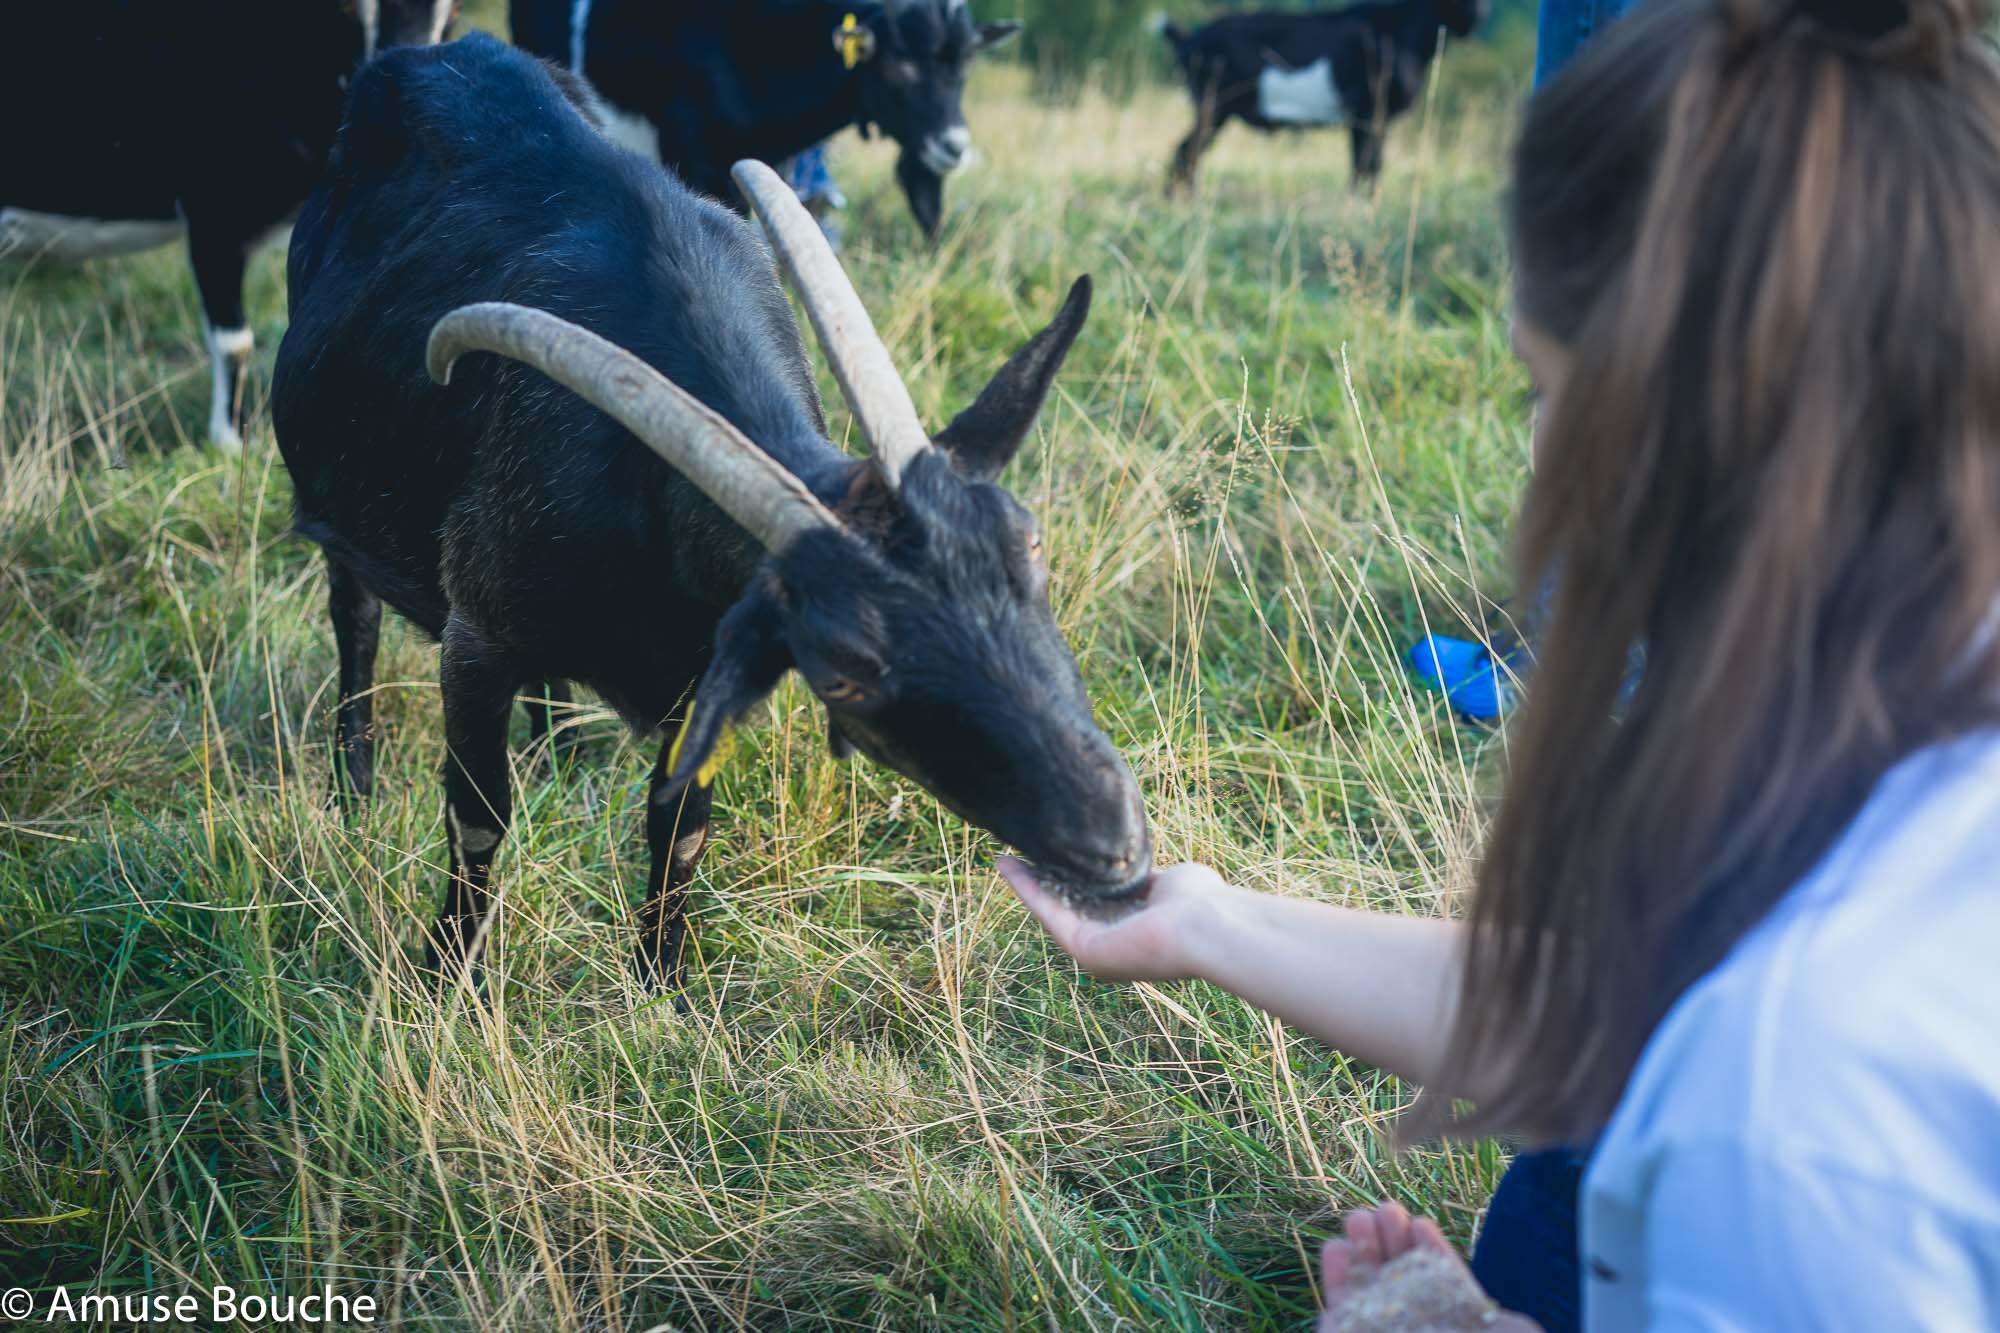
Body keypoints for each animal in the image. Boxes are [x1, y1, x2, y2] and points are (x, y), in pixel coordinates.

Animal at [1160, 0, 1488, 195]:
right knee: (1185, 153)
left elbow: (1367, 163)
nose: (1479, 15)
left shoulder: (1372, 118)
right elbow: (1368, 164)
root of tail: (1191, 37)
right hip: (1213, 106)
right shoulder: (1368, 112)